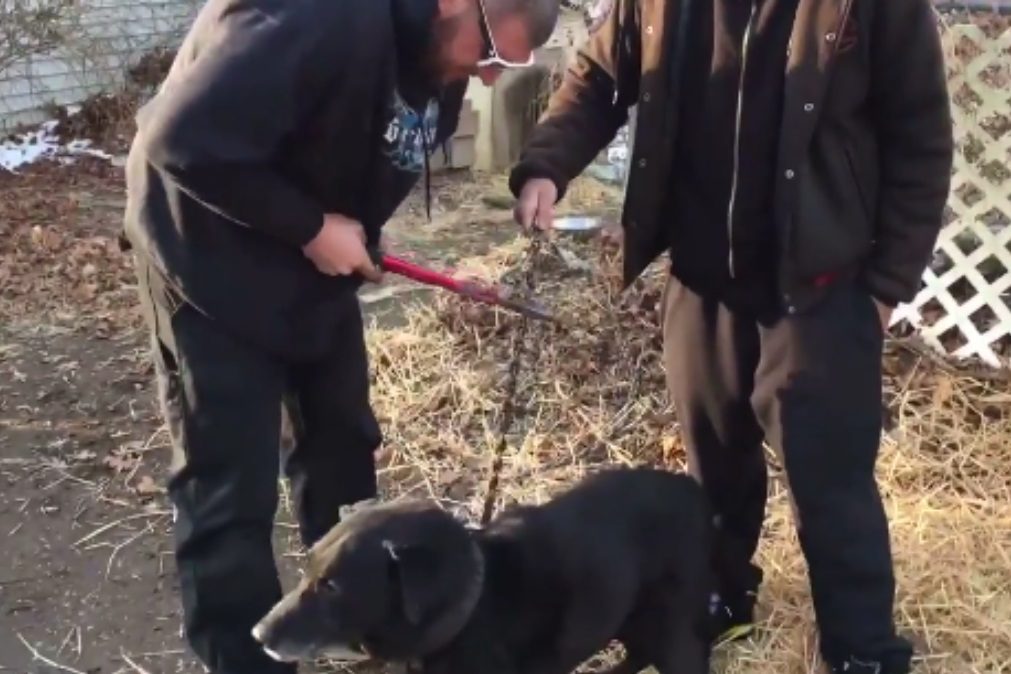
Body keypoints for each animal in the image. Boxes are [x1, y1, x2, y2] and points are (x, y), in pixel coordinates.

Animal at [251, 466, 711, 674]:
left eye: (332, 587)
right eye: (307, 565)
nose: (257, 635)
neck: (470, 610)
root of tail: (695, 492)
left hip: (668, 628)